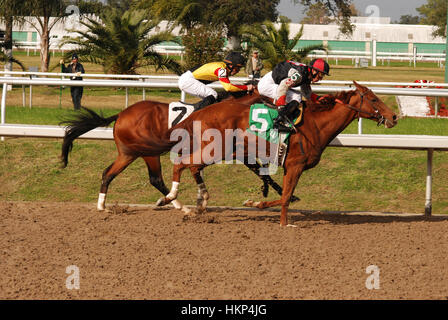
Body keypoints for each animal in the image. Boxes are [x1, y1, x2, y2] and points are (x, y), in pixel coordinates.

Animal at [59, 89, 290, 212]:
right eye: (269, 101)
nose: (285, 115)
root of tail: (121, 114)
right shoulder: (231, 151)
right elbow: (258, 169)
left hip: (129, 154)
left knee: (110, 173)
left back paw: (103, 205)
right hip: (146, 153)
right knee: (154, 179)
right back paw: (177, 205)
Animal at [159, 81, 398, 226]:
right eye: (374, 99)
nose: (394, 117)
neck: (316, 125)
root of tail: (201, 112)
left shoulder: (288, 166)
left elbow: (286, 195)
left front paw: (255, 203)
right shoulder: (295, 165)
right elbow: (286, 197)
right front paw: (285, 223)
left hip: (219, 151)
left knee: (192, 165)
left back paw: (198, 203)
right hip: (216, 149)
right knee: (182, 163)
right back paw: (172, 199)